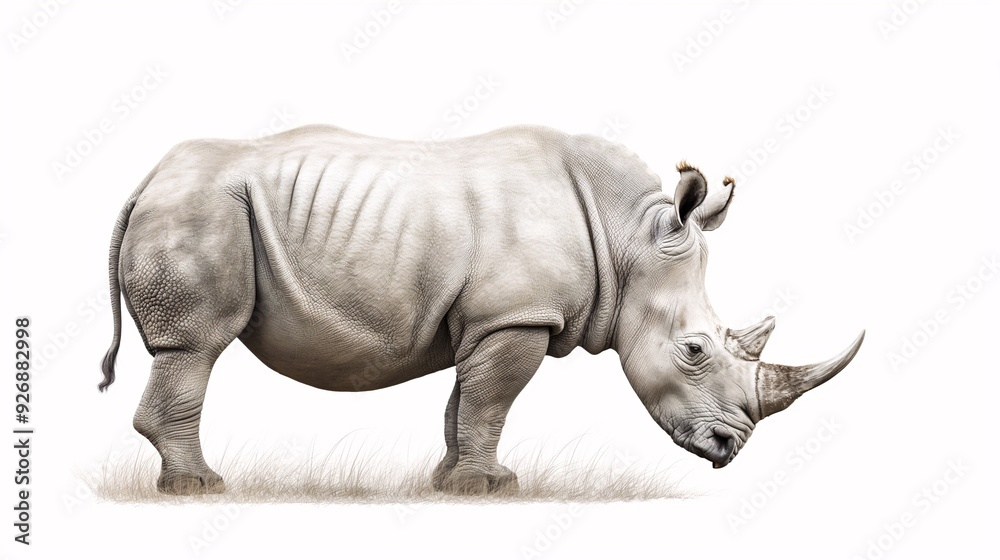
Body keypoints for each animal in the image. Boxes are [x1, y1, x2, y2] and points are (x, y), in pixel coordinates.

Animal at [99, 124, 864, 495]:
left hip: (194, 204)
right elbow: (493, 400)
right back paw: (198, 487)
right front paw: (492, 488)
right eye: (695, 350)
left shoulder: (492, 317)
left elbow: (465, 401)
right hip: (200, 209)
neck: (626, 237)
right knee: (196, 346)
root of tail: (145, 181)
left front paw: (454, 483)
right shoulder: (519, 315)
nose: (729, 450)